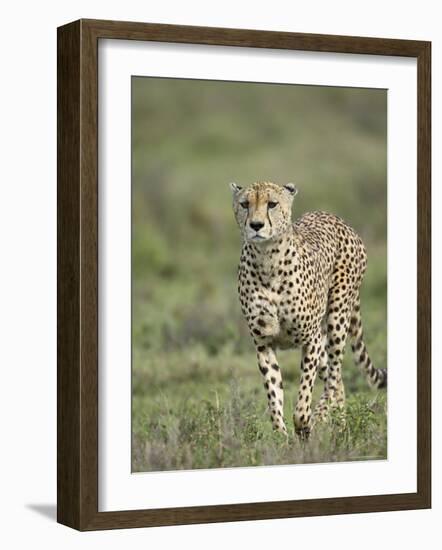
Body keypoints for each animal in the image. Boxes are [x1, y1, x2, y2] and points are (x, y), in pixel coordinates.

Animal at [231, 181, 386, 440]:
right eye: (245, 204)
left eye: (272, 204)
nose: (256, 225)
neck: (267, 259)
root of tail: (334, 217)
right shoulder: (263, 344)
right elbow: (274, 394)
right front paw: (281, 436)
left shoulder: (310, 339)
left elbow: (304, 395)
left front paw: (304, 424)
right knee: (338, 382)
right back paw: (340, 425)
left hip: (336, 320)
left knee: (334, 376)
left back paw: (324, 416)